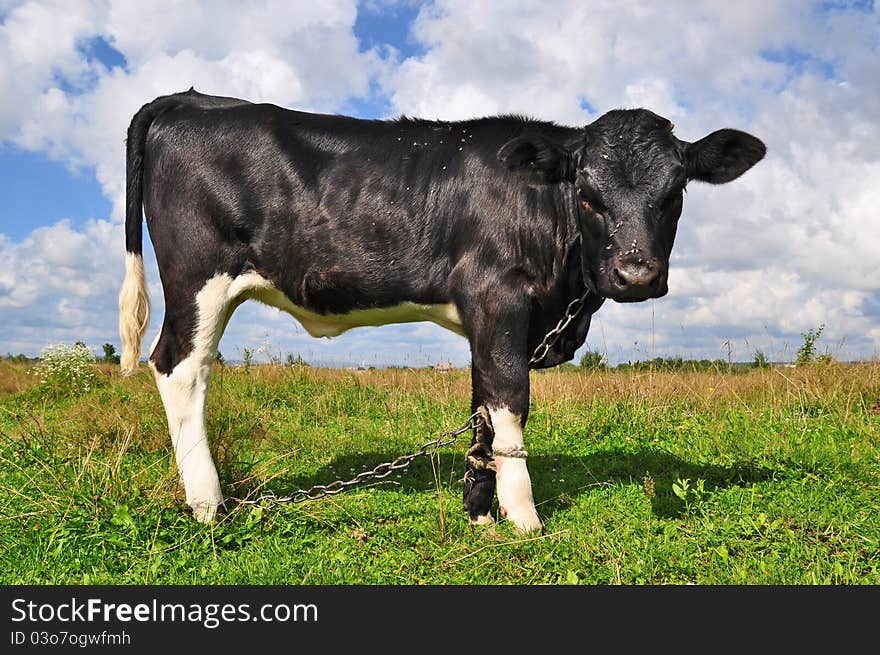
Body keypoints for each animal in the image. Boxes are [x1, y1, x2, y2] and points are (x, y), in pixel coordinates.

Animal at [118, 89, 764, 532]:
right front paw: (525, 520)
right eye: (586, 192)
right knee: (180, 368)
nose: (636, 274)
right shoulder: (499, 298)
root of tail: (189, 99)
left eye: (675, 191)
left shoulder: (488, 320)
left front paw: (480, 514)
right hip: (198, 279)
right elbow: (511, 403)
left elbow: (483, 408)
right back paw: (209, 506)